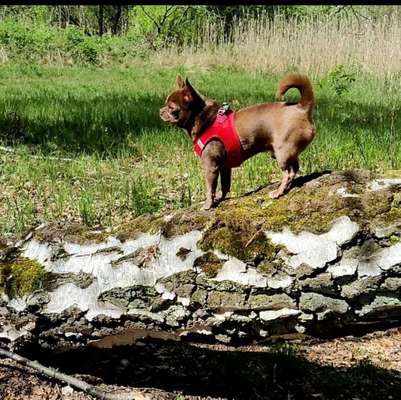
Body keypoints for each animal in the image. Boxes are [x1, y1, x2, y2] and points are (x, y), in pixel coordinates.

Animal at [159, 74, 312, 209]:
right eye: (165, 104)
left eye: (172, 108)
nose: (160, 111)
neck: (206, 119)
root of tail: (301, 107)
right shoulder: (225, 167)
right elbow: (225, 186)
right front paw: (220, 199)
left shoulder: (210, 166)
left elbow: (210, 188)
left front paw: (208, 205)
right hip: (287, 152)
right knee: (295, 168)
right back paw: (287, 188)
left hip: (281, 153)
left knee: (288, 172)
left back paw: (278, 191)